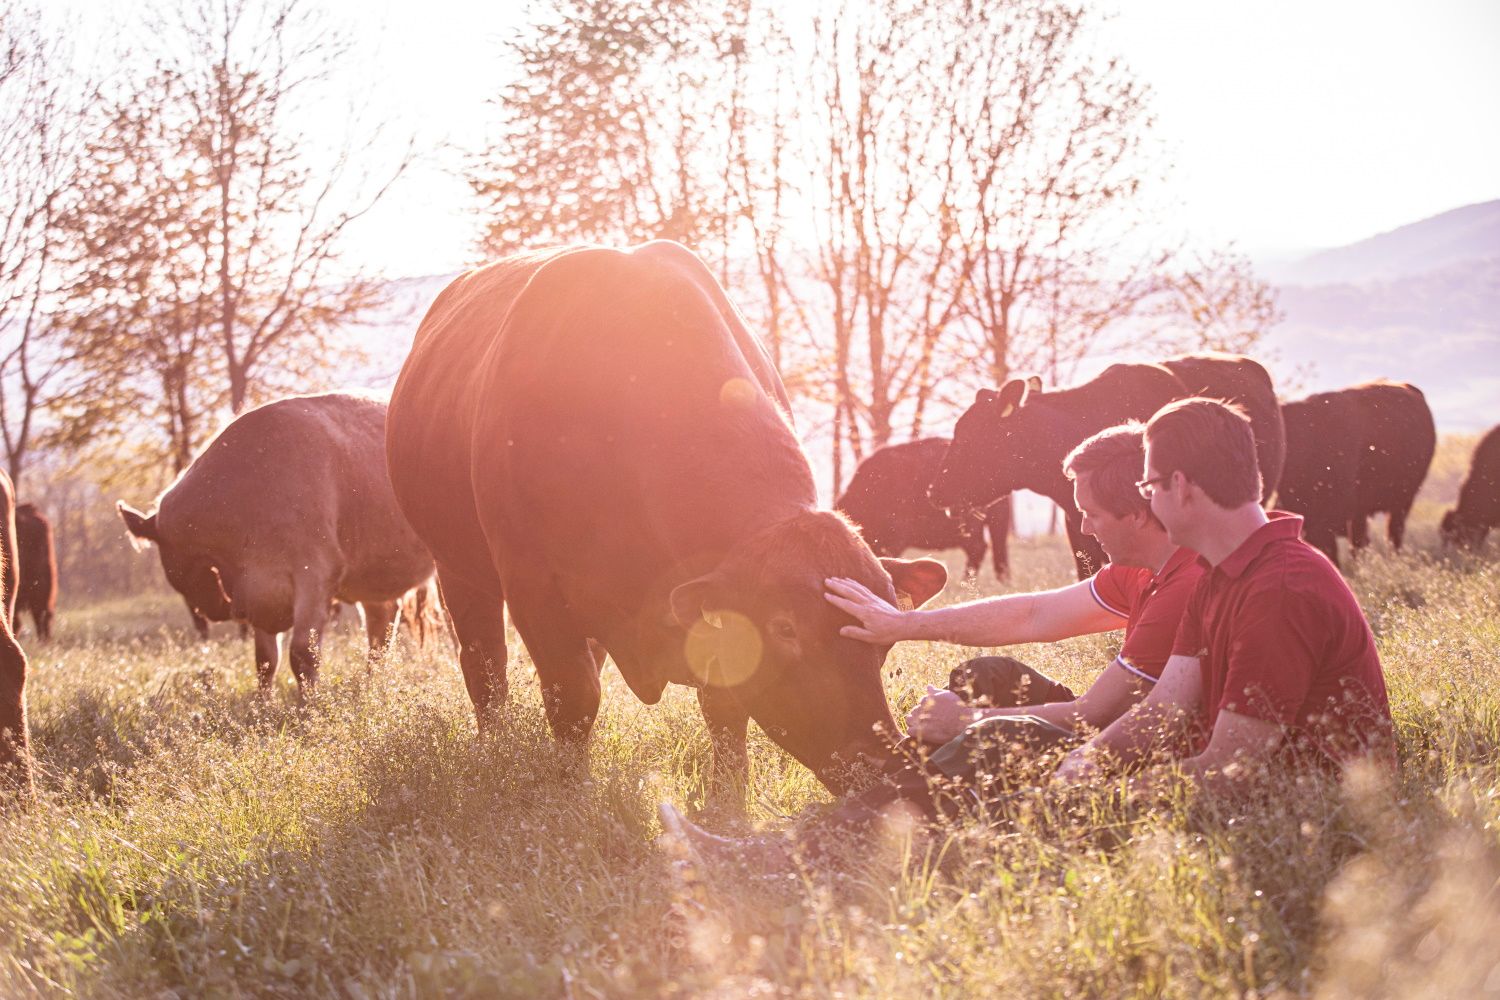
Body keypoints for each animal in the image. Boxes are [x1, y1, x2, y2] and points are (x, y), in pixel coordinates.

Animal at [117, 392, 437, 691]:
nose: (215, 610)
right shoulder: (260, 594)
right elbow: (265, 661)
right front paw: (263, 707)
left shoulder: (315, 576)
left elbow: (303, 655)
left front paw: (309, 709)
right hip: (375, 578)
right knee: (380, 630)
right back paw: (372, 687)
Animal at [386, 242, 947, 797]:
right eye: (786, 627)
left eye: (884, 637)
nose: (877, 762)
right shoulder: (535, 590)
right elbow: (572, 697)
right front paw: (572, 790)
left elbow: (723, 707)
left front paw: (727, 796)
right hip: (459, 570)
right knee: (486, 670)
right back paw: (494, 747)